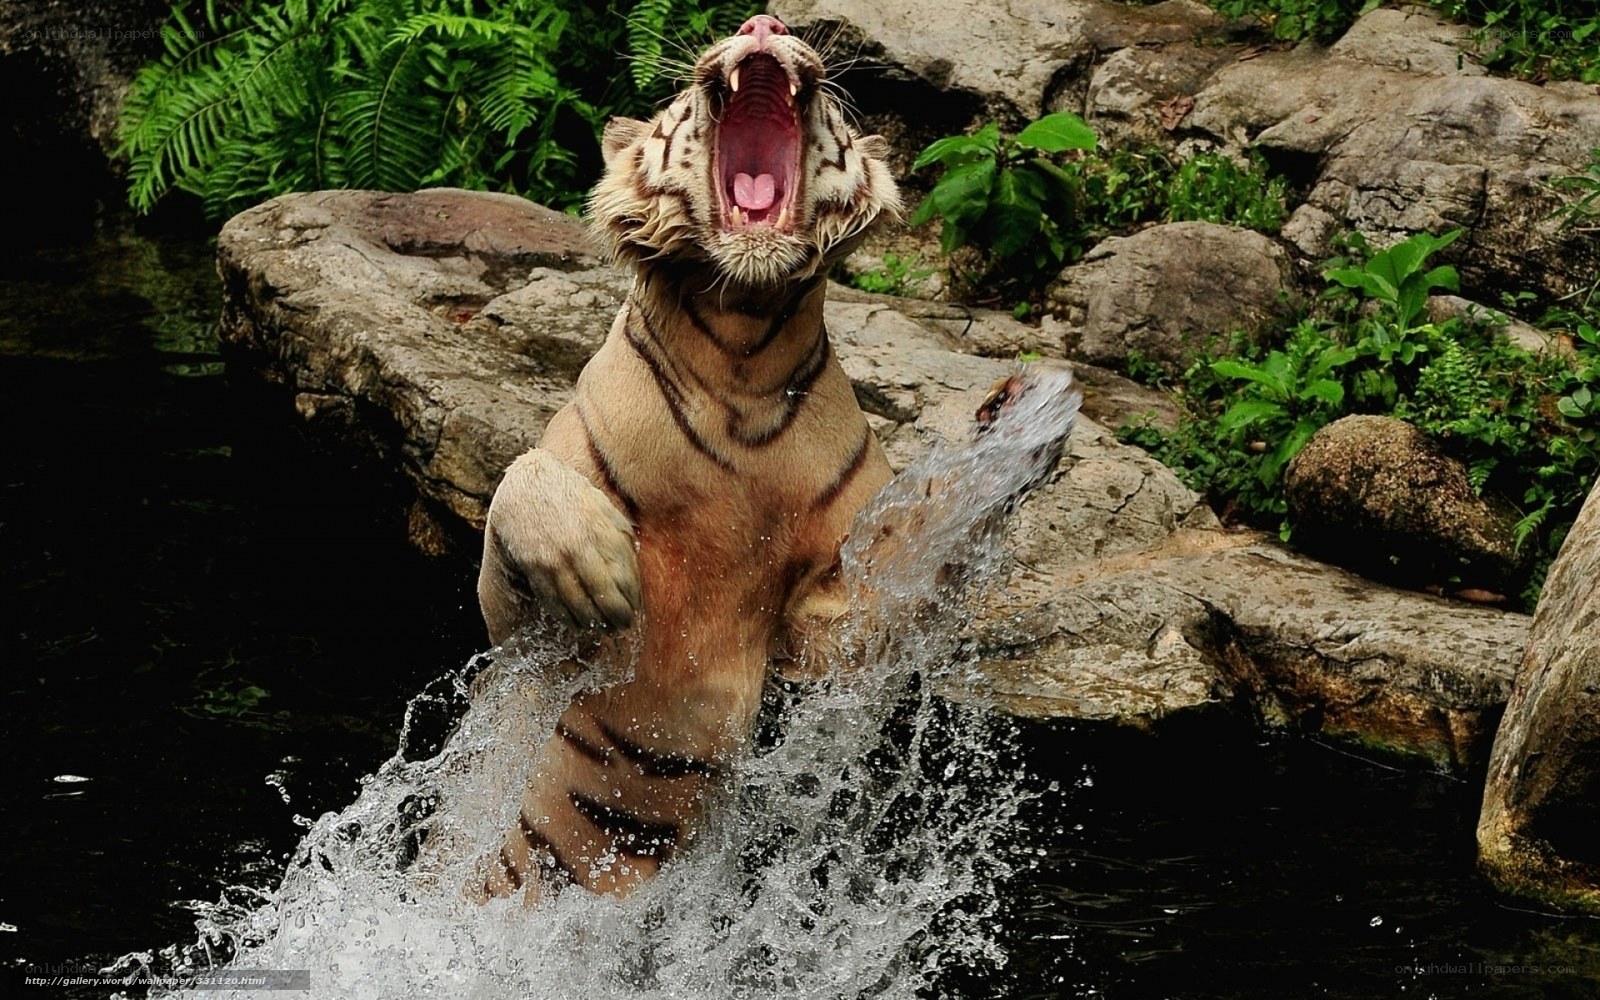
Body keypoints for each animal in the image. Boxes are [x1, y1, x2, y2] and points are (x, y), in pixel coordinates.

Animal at [475, 13, 1072, 901]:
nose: (765, 23)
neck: (742, 355)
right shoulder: (522, 639)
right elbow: (519, 485)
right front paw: (596, 569)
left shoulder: (832, 632)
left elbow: (921, 550)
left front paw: (1023, 421)